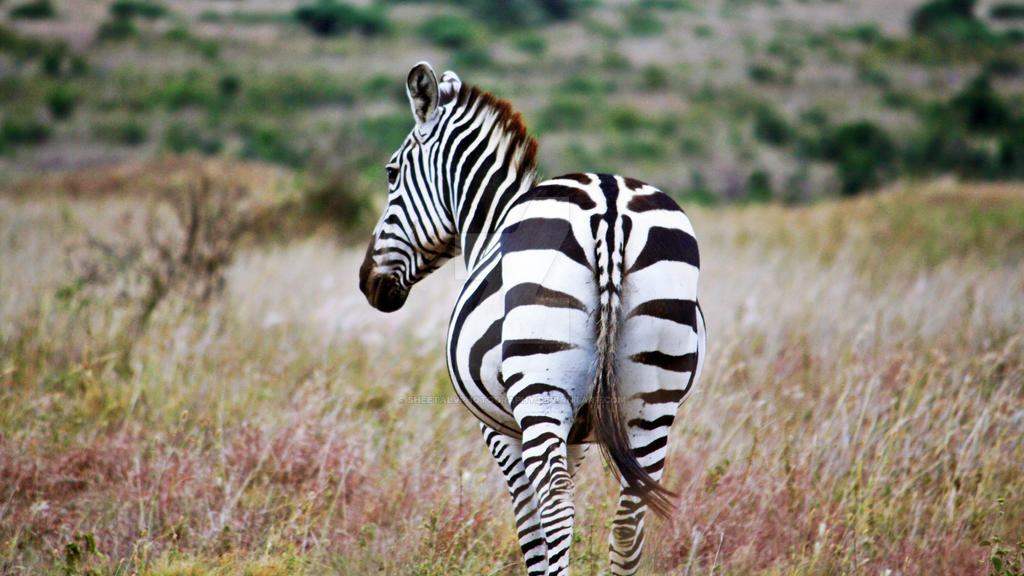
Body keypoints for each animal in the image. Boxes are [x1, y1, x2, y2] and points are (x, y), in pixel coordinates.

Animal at [358, 60, 704, 569]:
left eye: (391, 172)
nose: (368, 283)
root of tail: (609, 206)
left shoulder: (501, 430)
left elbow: (531, 525)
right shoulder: (578, 433)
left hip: (541, 390)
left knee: (558, 507)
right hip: (655, 397)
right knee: (629, 520)